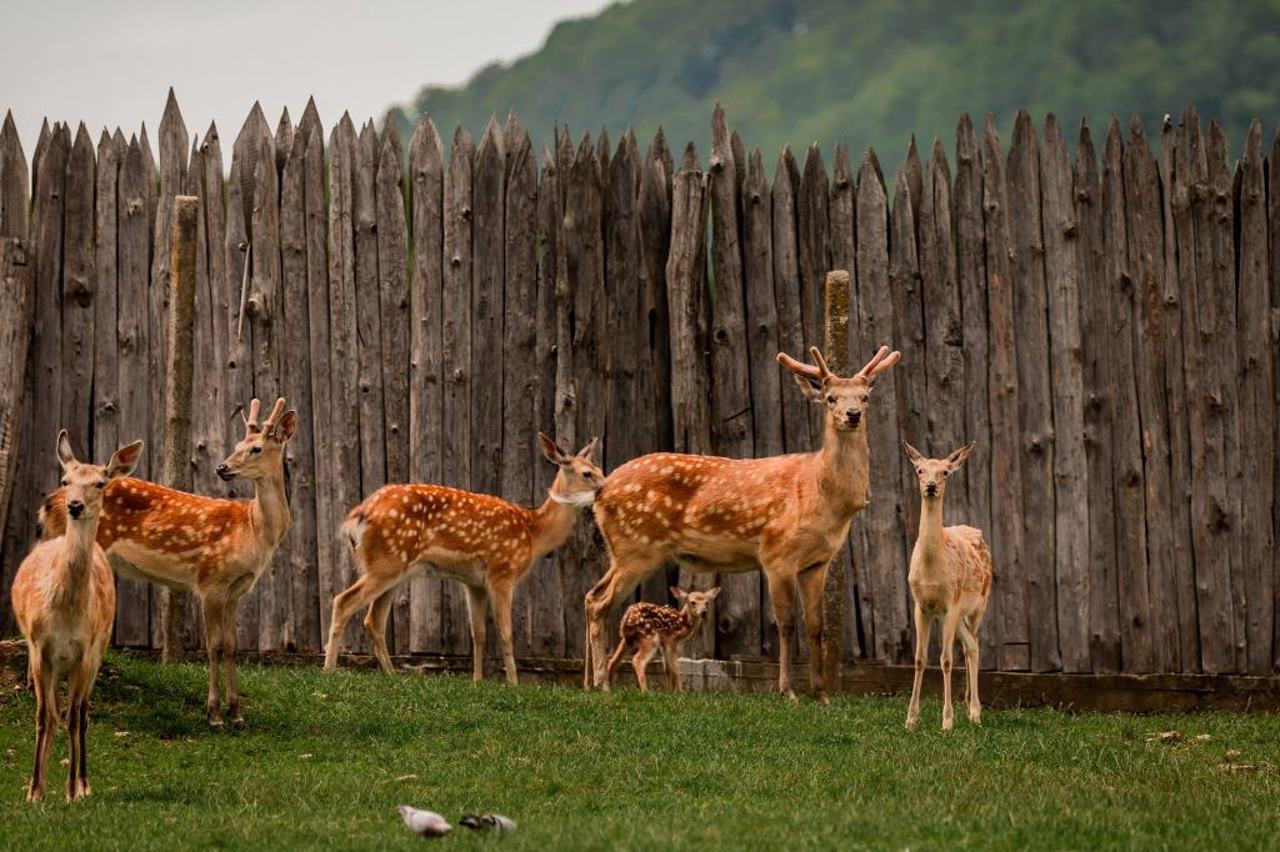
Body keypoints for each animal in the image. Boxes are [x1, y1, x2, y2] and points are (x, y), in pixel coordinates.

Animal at [11, 432, 140, 798]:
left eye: (100, 483)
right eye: (65, 480)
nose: (75, 505)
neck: (65, 616)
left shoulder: (85, 651)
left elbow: (73, 717)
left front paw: (71, 791)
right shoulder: (39, 648)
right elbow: (44, 716)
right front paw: (34, 790)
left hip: (99, 648)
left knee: (81, 712)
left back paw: (83, 783)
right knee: (56, 711)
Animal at [38, 396, 299, 721]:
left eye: (256, 448)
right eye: (239, 443)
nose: (222, 467)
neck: (253, 529)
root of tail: (49, 503)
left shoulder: (236, 589)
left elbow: (232, 646)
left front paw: (236, 712)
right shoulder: (210, 580)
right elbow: (214, 646)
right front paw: (214, 713)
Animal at [325, 432, 604, 685]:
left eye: (600, 469)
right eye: (586, 473)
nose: (604, 488)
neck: (533, 532)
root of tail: (356, 518)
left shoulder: (474, 583)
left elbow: (478, 633)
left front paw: (477, 681)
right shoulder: (502, 571)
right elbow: (505, 632)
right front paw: (513, 684)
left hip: (392, 568)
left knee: (373, 620)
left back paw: (392, 675)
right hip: (386, 561)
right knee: (343, 601)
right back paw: (329, 670)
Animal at [583, 342, 901, 701]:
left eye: (865, 396)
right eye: (831, 397)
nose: (853, 414)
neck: (822, 495)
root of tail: (600, 492)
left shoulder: (817, 562)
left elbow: (816, 626)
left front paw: (821, 694)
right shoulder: (776, 553)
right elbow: (786, 624)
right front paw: (788, 691)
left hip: (624, 549)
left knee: (591, 596)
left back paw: (590, 682)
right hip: (636, 547)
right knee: (600, 603)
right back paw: (601, 682)